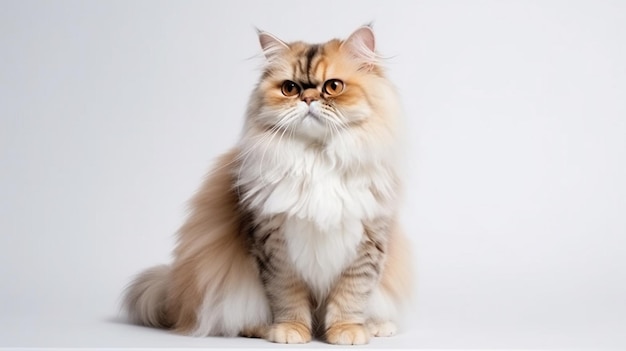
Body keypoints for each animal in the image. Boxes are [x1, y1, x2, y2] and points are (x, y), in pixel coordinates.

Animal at [123, 26, 412, 346]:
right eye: (290, 88)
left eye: (333, 87)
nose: (308, 98)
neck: (317, 159)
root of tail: (175, 296)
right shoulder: (275, 246)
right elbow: (287, 297)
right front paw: (290, 331)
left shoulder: (367, 243)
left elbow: (351, 296)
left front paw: (346, 331)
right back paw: (261, 328)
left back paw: (375, 326)